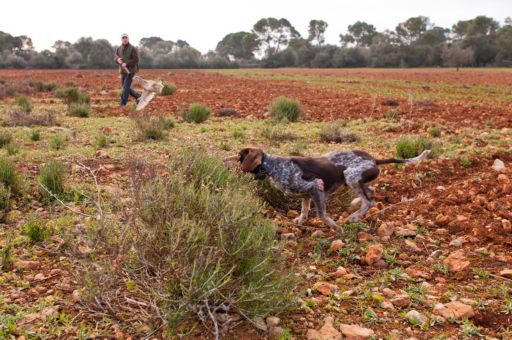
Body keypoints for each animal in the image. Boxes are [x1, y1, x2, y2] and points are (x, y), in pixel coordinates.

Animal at [238, 148, 430, 231]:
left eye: (239, 156)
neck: (274, 166)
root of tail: (374, 159)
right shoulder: (306, 194)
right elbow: (304, 210)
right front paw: (300, 222)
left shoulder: (316, 186)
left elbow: (322, 214)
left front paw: (336, 228)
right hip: (357, 180)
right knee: (372, 192)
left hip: (350, 176)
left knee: (369, 201)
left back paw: (353, 217)